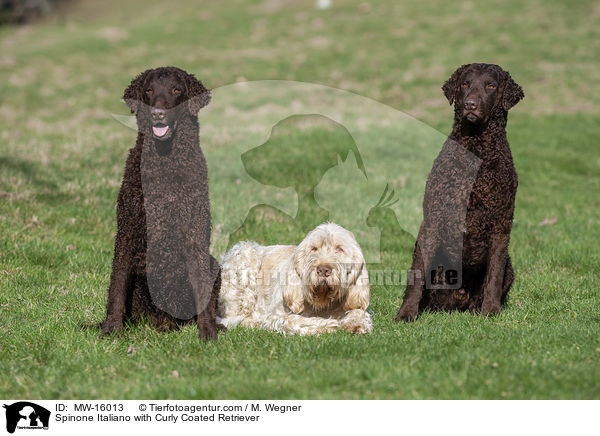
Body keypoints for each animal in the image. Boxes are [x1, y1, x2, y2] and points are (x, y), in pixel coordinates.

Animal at [218, 223, 372, 336]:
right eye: (314, 249)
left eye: (339, 249)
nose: (323, 270)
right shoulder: (275, 316)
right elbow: (294, 320)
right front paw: (328, 325)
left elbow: (359, 312)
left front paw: (355, 324)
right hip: (244, 255)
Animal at [396, 62, 524, 320]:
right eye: (465, 83)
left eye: (491, 85)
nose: (470, 104)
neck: (476, 149)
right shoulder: (432, 220)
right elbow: (416, 274)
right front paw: (406, 313)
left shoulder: (500, 223)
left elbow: (494, 276)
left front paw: (492, 311)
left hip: (510, 266)